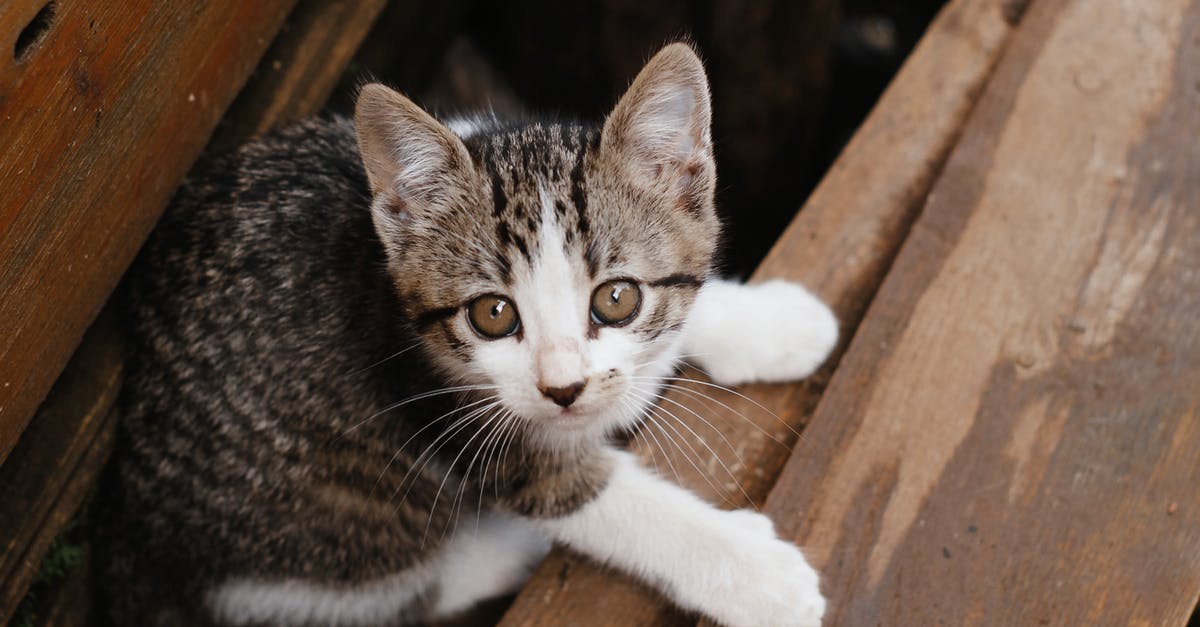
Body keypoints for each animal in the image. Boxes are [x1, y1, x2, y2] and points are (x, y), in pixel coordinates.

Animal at [96, 43, 835, 624]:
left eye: (617, 298)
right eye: (493, 315)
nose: (563, 389)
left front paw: (775, 322)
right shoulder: (449, 418)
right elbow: (598, 499)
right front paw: (755, 573)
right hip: (326, 522)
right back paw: (507, 548)